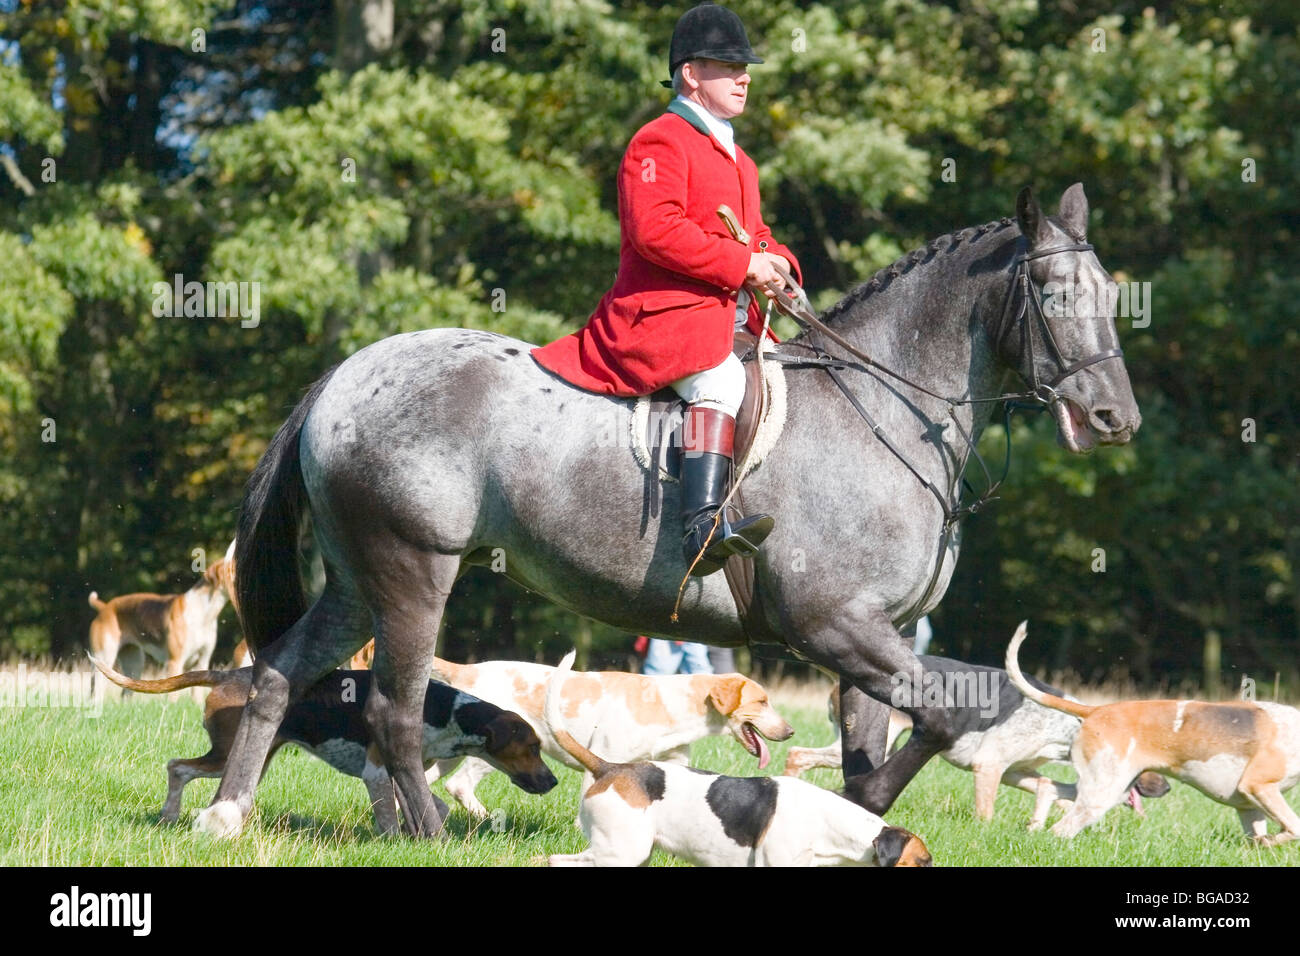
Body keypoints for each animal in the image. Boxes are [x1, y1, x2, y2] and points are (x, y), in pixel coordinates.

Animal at [195, 180, 1138, 837]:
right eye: (1055, 296)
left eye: (1112, 293)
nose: (1114, 418)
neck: (884, 410)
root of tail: (346, 376)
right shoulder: (835, 626)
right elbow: (938, 720)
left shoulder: (883, 634)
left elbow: (877, 751)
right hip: (411, 573)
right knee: (393, 711)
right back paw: (425, 833)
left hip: (358, 581)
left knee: (280, 672)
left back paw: (225, 816)